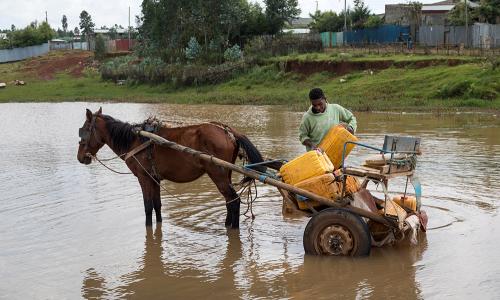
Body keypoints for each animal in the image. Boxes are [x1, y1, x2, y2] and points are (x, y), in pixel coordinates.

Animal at [76, 108, 264, 227]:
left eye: (84, 130)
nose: (80, 157)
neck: (135, 140)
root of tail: (227, 131)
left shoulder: (144, 178)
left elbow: (147, 207)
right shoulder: (155, 179)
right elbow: (157, 205)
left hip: (217, 174)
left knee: (234, 201)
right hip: (226, 174)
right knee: (229, 201)